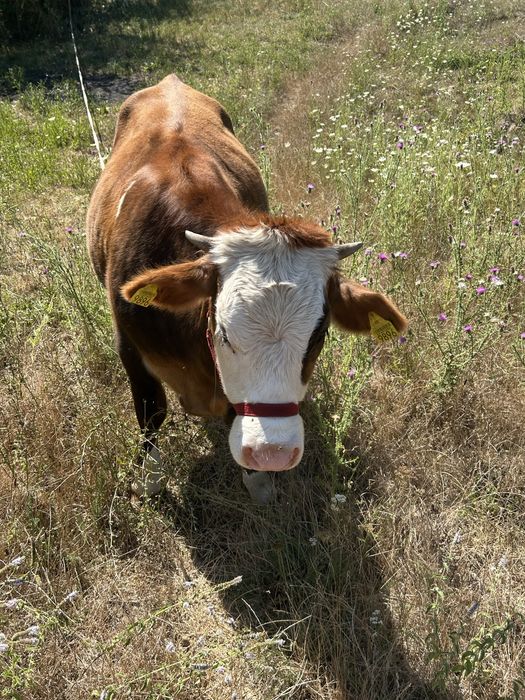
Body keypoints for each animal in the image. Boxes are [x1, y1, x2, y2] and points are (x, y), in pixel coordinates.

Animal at [86, 74, 407, 502]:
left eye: (319, 335)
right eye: (223, 331)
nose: (272, 453)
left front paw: (258, 482)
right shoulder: (128, 346)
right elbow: (151, 410)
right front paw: (150, 479)